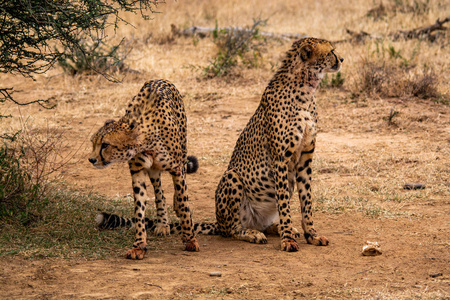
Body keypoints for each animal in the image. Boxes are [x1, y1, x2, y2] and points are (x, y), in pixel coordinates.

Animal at [89, 78, 200, 258]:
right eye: (93, 143)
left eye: (105, 145)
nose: (91, 159)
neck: (145, 141)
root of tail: (160, 79)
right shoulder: (138, 171)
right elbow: (139, 210)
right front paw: (139, 246)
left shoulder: (176, 169)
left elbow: (184, 204)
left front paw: (190, 239)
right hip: (154, 171)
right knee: (160, 191)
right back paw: (162, 223)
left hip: (182, 152)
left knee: (180, 187)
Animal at [99, 38, 344, 253]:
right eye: (331, 50)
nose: (341, 58)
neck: (306, 90)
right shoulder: (281, 158)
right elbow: (284, 202)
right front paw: (288, 241)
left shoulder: (305, 158)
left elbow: (307, 200)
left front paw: (311, 235)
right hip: (232, 177)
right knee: (231, 229)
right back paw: (254, 233)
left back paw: (280, 228)